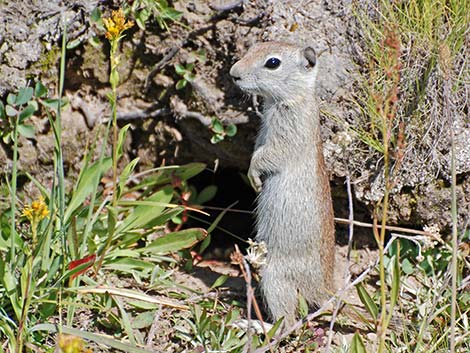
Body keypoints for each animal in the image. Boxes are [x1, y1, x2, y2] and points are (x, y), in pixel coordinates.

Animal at [230, 41, 334, 324]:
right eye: (253, 47)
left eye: (273, 63)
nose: (233, 74)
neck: (294, 96)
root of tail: (324, 290)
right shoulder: (263, 133)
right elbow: (257, 148)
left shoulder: (286, 136)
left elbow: (265, 156)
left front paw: (253, 176)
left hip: (273, 276)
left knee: (287, 322)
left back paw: (255, 325)